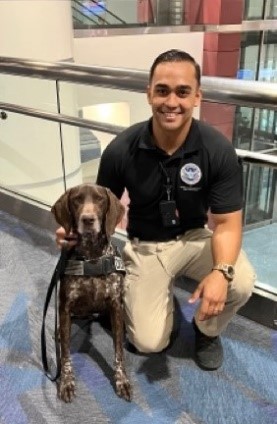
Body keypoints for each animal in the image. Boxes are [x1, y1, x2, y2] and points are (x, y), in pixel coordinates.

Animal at [51, 182, 132, 400]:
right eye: (77, 199)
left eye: (100, 199)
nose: (88, 219)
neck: (92, 257)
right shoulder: (65, 307)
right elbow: (66, 354)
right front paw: (66, 382)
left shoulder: (116, 306)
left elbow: (119, 353)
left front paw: (121, 380)